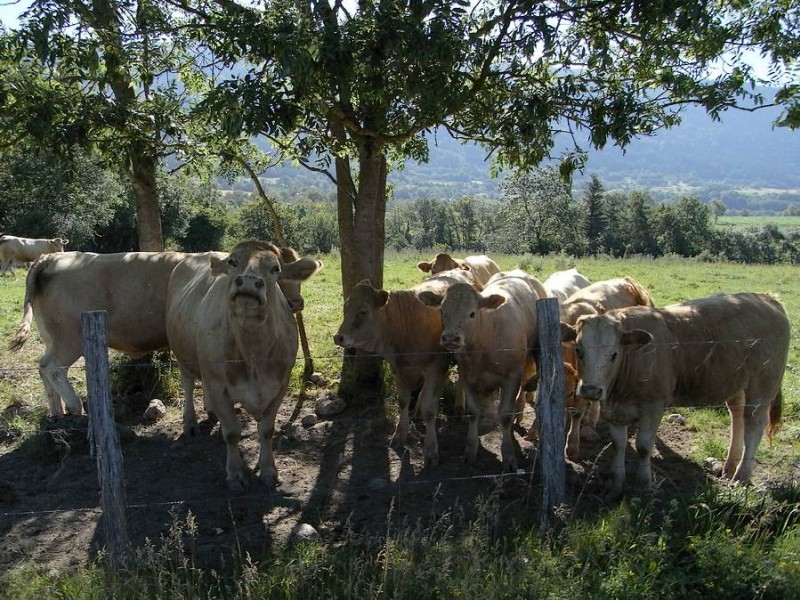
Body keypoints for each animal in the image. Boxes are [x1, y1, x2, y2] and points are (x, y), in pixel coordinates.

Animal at [8, 246, 317, 418]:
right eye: (281, 275)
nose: (298, 303)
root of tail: (50, 257)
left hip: (52, 337)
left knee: (43, 367)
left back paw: (57, 411)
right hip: (69, 338)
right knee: (54, 367)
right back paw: (74, 406)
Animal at [166, 240, 322, 490]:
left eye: (275, 268)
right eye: (232, 262)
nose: (248, 282)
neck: (253, 354)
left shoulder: (279, 384)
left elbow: (266, 430)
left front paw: (268, 471)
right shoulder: (219, 386)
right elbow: (231, 432)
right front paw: (236, 474)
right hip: (182, 355)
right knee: (188, 385)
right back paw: (190, 422)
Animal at [333, 268, 481, 466]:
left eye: (363, 312)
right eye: (345, 308)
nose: (338, 337)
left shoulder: (435, 368)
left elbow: (430, 410)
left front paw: (431, 449)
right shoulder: (398, 369)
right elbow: (404, 401)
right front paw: (399, 435)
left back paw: (459, 405)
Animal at [417, 269, 547, 471]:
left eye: (472, 313)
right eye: (442, 311)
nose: (450, 338)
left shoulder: (512, 377)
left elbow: (505, 416)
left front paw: (508, 455)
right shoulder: (467, 376)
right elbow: (473, 412)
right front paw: (471, 449)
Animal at [564, 292, 789, 500]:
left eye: (614, 354)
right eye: (578, 350)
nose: (591, 390)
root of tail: (767, 299)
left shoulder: (654, 404)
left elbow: (643, 446)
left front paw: (643, 484)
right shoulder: (616, 410)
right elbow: (618, 445)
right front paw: (615, 486)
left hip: (762, 385)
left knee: (754, 427)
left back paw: (741, 476)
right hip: (736, 383)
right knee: (737, 417)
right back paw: (729, 466)